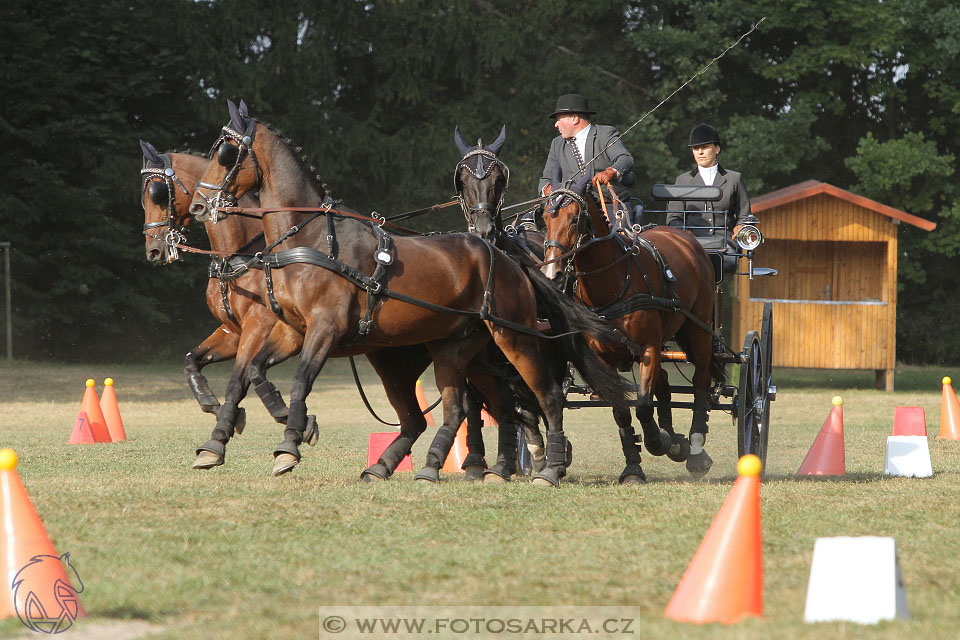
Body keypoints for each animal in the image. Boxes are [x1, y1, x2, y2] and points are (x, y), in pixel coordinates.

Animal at [188, 97, 632, 482]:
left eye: (226, 153)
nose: (199, 205)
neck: (313, 238)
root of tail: (505, 257)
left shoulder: (324, 328)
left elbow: (298, 380)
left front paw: (288, 446)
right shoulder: (290, 331)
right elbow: (250, 373)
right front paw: (252, 433)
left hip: (513, 338)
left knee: (545, 397)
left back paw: (549, 467)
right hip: (449, 350)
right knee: (459, 410)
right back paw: (416, 466)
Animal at [540, 170, 720, 480]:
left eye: (574, 218)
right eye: (544, 217)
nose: (554, 273)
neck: (612, 283)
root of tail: (684, 236)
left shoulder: (647, 348)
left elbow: (645, 404)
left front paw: (659, 442)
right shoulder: (603, 358)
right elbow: (622, 411)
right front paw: (634, 465)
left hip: (698, 330)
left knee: (700, 382)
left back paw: (695, 448)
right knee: (665, 384)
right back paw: (677, 439)